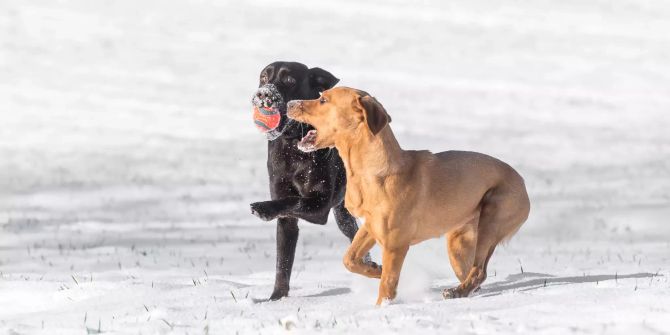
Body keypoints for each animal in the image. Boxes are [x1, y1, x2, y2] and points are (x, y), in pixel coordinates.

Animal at [251, 61, 364, 300]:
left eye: (289, 79)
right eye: (264, 77)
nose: (264, 93)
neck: (292, 147)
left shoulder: (319, 206)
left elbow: (292, 201)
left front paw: (263, 208)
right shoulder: (287, 220)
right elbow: (283, 263)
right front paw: (276, 298)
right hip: (343, 214)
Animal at [286, 88, 532, 306]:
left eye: (323, 100)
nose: (289, 103)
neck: (369, 172)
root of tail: (522, 181)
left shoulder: (395, 245)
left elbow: (387, 286)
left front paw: (382, 307)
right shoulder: (371, 227)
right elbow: (350, 259)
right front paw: (375, 270)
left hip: (490, 222)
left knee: (480, 271)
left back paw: (456, 292)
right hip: (458, 243)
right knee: (474, 274)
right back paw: (460, 292)